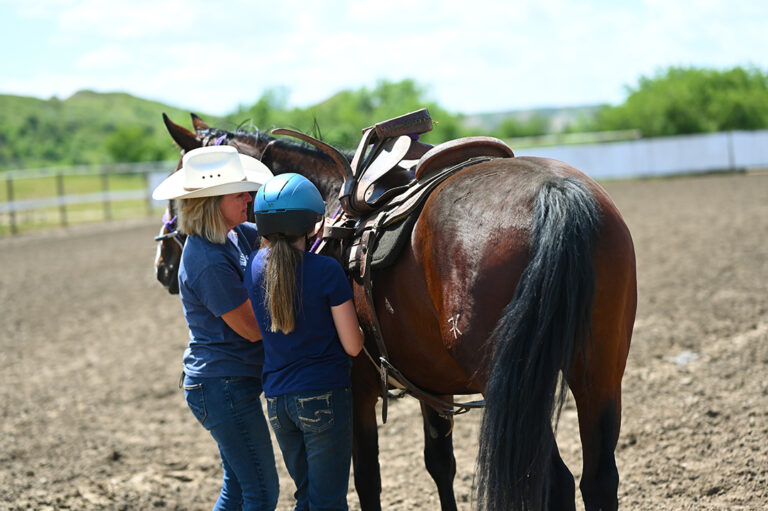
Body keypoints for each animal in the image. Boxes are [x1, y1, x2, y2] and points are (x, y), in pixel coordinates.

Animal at [156, 114, 636, 510]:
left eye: (175, 192)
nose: (162, 266)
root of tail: (557, 193)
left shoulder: (354, 389)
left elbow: (368, 479)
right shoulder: (432, 383)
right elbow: (440, 464)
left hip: (512, 385)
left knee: (555, 482)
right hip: (599, 374)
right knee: (598, 480)